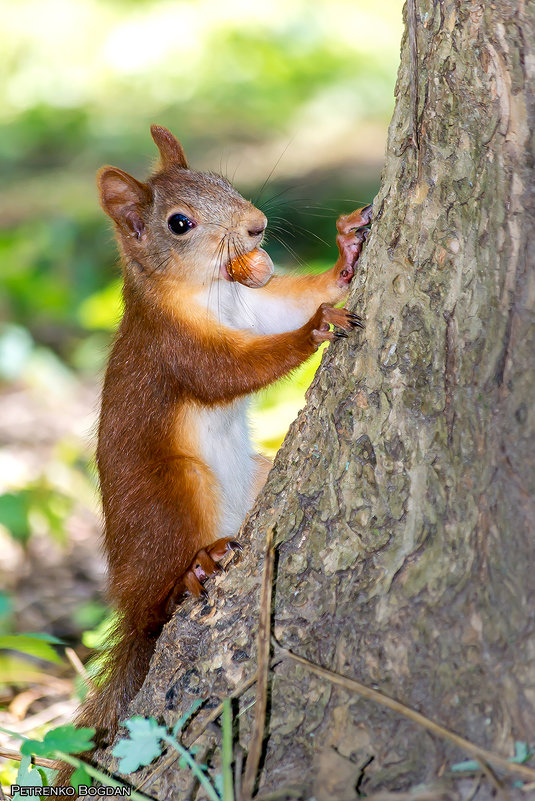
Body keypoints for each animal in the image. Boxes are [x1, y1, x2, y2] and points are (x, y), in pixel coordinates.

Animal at [55, 126, 372, 780]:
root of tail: (131, 606)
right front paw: (313, 330)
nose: (256, 225)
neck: (216, 293)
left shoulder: (259, 307)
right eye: (179, 224)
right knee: (162, 596)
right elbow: (231, 371)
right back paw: (192, 572)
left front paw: (347, 252)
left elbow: (292, 299)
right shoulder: (175, 349)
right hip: (173, 496)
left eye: (224, 181)